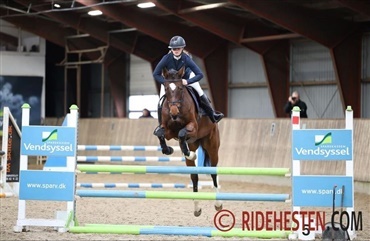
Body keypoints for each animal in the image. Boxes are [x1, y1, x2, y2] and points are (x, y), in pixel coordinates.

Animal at [155, 66, 221, 217]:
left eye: (180, 88)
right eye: (166, 88)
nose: (174, 112)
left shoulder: (193, 128)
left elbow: (181, 133)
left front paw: (188, 153)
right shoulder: (169, 131)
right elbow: (161, 133)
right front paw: (168, 150)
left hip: (212, 147)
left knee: (213, 173)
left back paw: (218, 204)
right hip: (194, 144)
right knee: (194, 177)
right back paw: (196, 208)